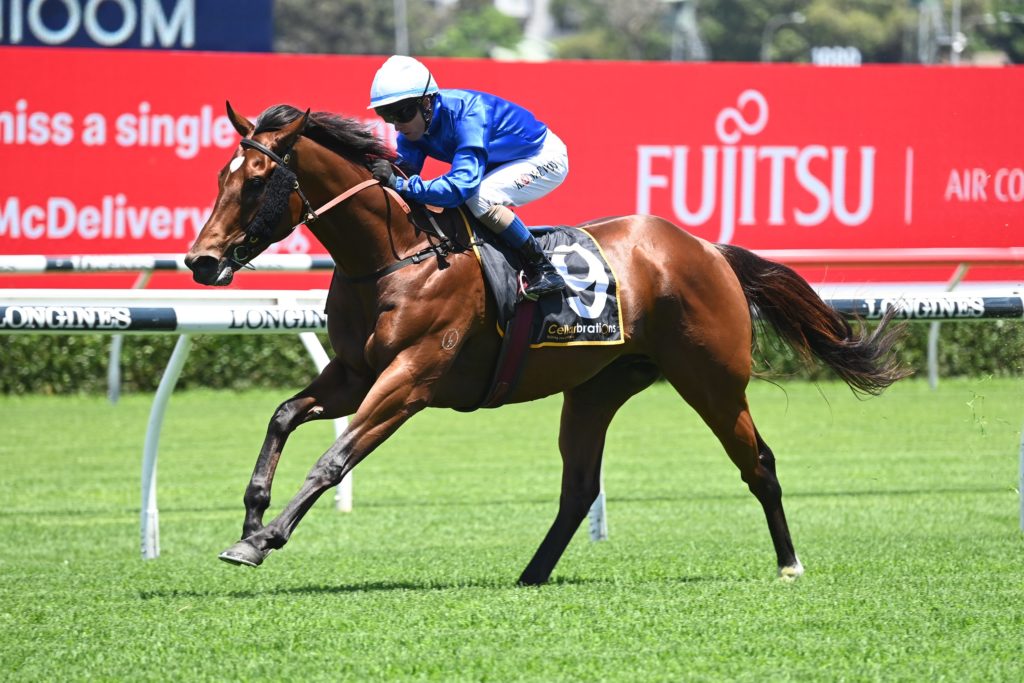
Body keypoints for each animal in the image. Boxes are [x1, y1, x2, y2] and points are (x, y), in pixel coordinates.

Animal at [184, 102, 908, 584]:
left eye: (256, 179)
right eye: (220, 175)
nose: (201, 261)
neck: (396, 255)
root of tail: (705, 248)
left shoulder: (411, 378)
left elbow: (334, 460)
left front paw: (263, 540)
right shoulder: (354, 372)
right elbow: (284, 415)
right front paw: (250, 518)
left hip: (711, 379)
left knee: (758, 462)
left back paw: (789, 563)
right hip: (596, 390)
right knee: (580, 488)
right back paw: (531, 573)